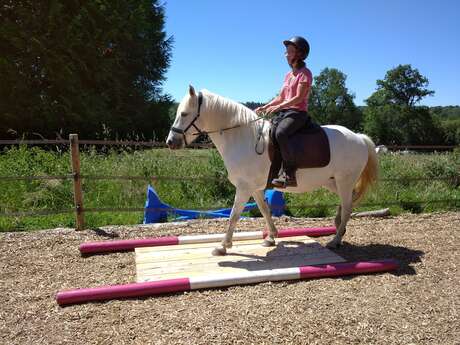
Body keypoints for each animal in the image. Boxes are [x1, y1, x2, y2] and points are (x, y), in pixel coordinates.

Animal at [165, 84, 378, 254]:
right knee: (347, 201)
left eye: (184, 114)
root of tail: (359, 137)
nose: (170, 142)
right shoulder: (255, 188)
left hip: (344, 181)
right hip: (332, 182)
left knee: (348, 206)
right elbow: (264, 209)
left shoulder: (244, 188)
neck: (243, 138)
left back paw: (335, 239)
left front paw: (223, 246)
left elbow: (234, 215)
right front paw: (271, 237)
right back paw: (338, 227)